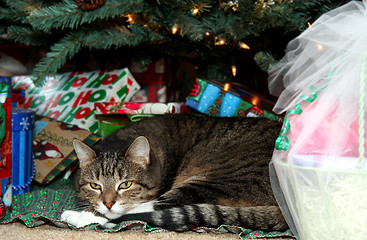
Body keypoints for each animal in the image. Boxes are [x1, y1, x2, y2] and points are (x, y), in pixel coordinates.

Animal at [61, 115, 290, 232]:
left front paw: (84, 215)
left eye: (125, 184)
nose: (108, 203)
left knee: (158, 205)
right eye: (95, 186)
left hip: (220, 178)